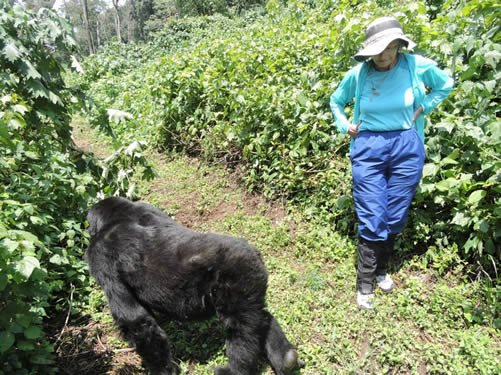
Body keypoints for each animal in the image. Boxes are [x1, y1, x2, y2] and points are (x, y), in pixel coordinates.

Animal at [85, 198, 302, 374]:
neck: (117, 217)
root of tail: (255, 253)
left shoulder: (99, 256)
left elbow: (136, 320)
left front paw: (163, 371)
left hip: (237, 277)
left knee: (240, 329)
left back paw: (235, 369)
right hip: (252, 281)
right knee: (259, 316)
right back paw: (286, 359)